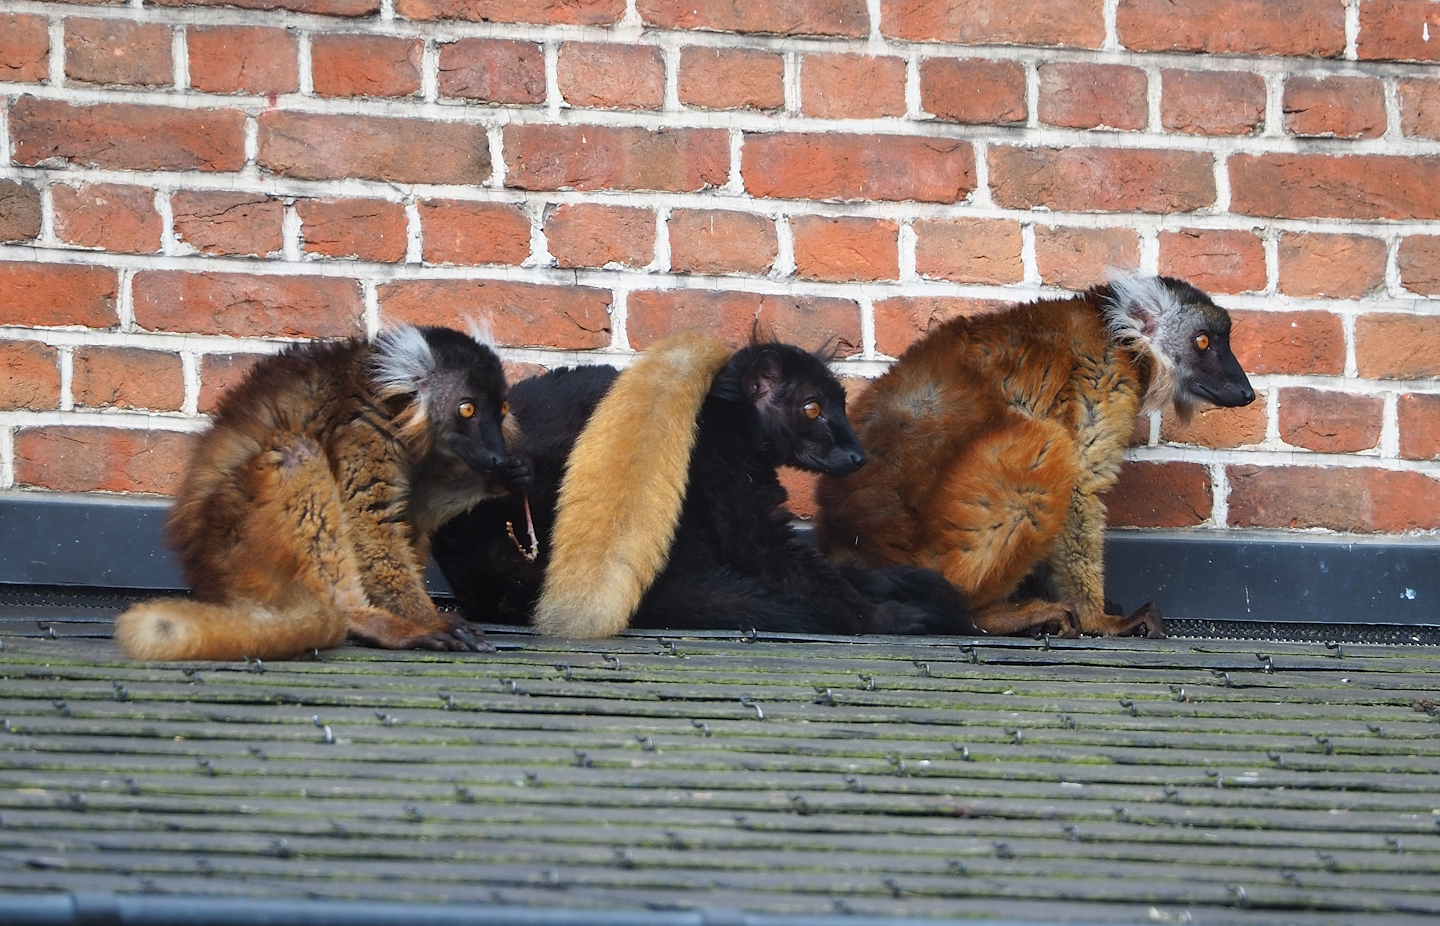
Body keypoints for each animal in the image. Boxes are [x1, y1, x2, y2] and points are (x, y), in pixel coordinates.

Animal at [114, 325, 530, 662]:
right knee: (297, 455)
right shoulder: (365, 432)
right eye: (467, 409)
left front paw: (503, 478)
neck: (393, 400)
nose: (495, 455)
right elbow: (369, 521)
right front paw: (427, 619)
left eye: (502, 410)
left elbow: (413, 510)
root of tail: (208, 573)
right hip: (239, 547)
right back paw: (364, 619)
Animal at [431, 334, 977, 638]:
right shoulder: (738, 505)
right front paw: (886, 617)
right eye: (812, 409)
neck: (724, 421)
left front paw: (901, 586)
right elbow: (807, 577)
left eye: (840, 405)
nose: (858, 455)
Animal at [814, 276, 1256, 639]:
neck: (1119, 338)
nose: (1246, 391)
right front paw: (1100, 620)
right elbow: (1082, 485)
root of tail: (849, 539)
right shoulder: (1103, 384)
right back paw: (988, 615)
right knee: (1048, 446)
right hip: (938, 549)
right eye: (1203, 342)